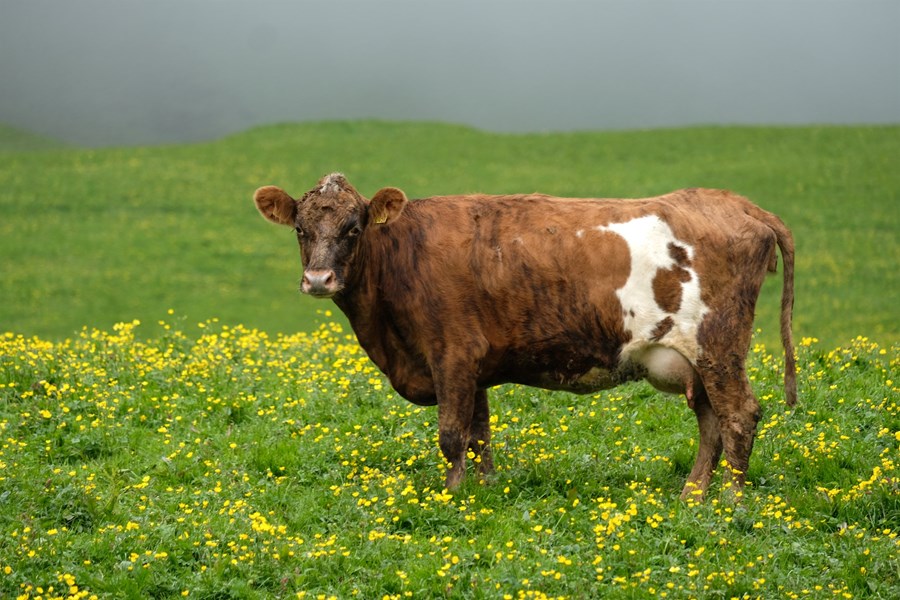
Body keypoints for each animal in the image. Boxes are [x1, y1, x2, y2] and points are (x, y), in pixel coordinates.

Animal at [253, 171, 796, 500]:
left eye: (353, 227)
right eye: (300, 229)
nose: (319, 279)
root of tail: (736, 203)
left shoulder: (452, 354)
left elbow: (451, 435)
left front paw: (451, 497)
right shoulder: (474, 366)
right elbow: (479, 434)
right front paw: (485, 491)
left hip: (717, 346)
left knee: (739, 416)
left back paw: (728, 503)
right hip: (695, 362)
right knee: (711, 423)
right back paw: (692, 496)